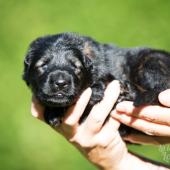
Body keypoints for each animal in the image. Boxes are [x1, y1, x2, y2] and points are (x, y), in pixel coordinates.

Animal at [23, 32, 170, 135]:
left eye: (75, 66)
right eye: (43, 65)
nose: (60, 83)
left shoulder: (108, 74)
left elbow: (103, 81)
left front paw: (95, 92)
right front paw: (53, 113)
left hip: (151, 63)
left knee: (158, 90)